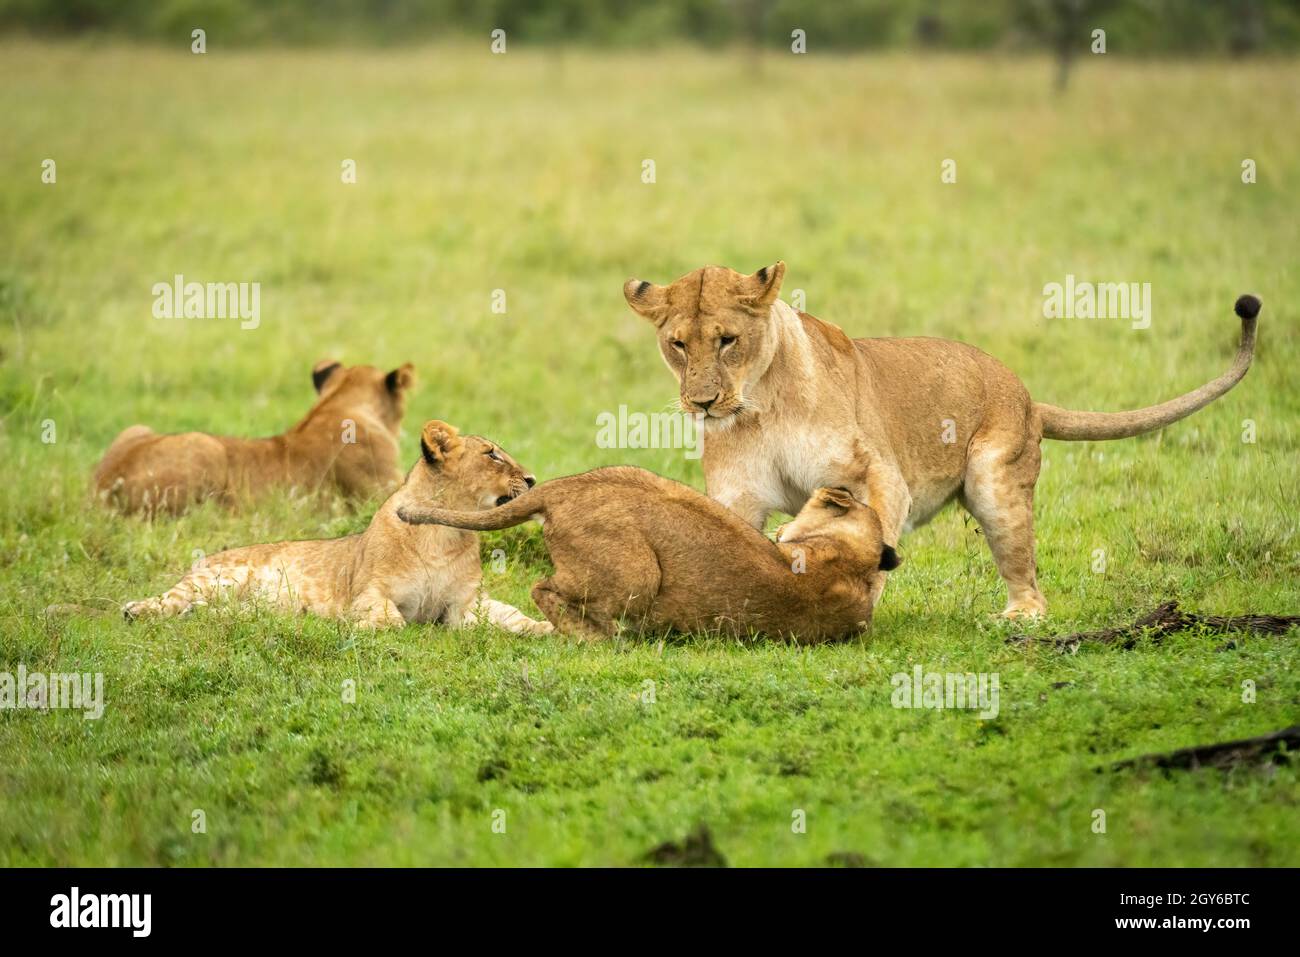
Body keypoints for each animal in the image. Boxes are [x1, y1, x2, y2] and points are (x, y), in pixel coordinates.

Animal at [122, 421, 548, 634]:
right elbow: (391, 622)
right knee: (168, 600)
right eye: (492, 454)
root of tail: (205, 558)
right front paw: (356, 624)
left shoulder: (463, 606)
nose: (532, 480)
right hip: (218, 578)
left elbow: (510, 615)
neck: (444, 533)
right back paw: (137, 610)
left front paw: (544, 627)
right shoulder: (370, 593)